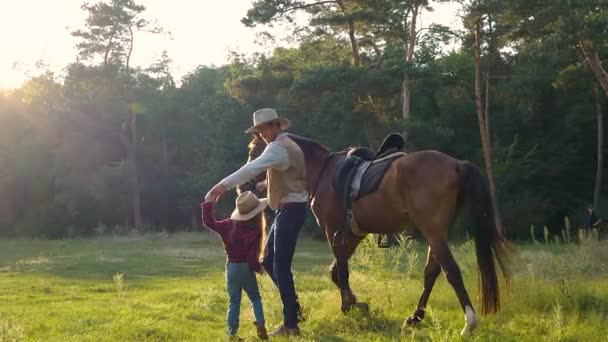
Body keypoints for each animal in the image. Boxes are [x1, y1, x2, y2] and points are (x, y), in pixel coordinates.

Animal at [243, 133, 508, 334]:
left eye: (254, 150)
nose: (244, 185)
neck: (323, 171)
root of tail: (456, 164)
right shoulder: (352, 235)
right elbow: (336, 273)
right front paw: (356, 304)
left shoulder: (333, 230)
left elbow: (342, 271)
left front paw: (347, 307)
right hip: (438, 233)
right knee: (432, 272)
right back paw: (415, 317)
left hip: (433, 231)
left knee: (451, 271)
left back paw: (469, 322)